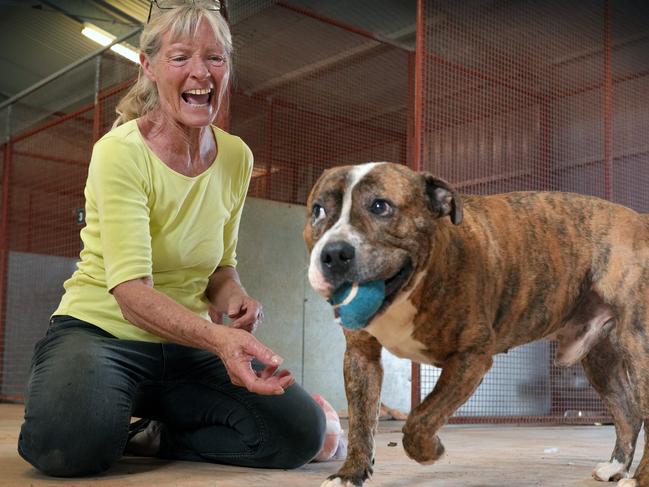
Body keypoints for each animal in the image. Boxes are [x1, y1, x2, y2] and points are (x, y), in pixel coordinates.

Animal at [304, 162, 648, 486]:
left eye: (380, 206)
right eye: (317, 210)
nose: (334, 253)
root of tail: (640, 220)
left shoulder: (471, 358)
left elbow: (420, 418)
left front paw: (430, 450)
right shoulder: (361, 357)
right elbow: (362, 424)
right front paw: (350, 474)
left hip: (638, 345)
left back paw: (638, 477)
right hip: (600, 360)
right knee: (628, 413)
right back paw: (617, 467)